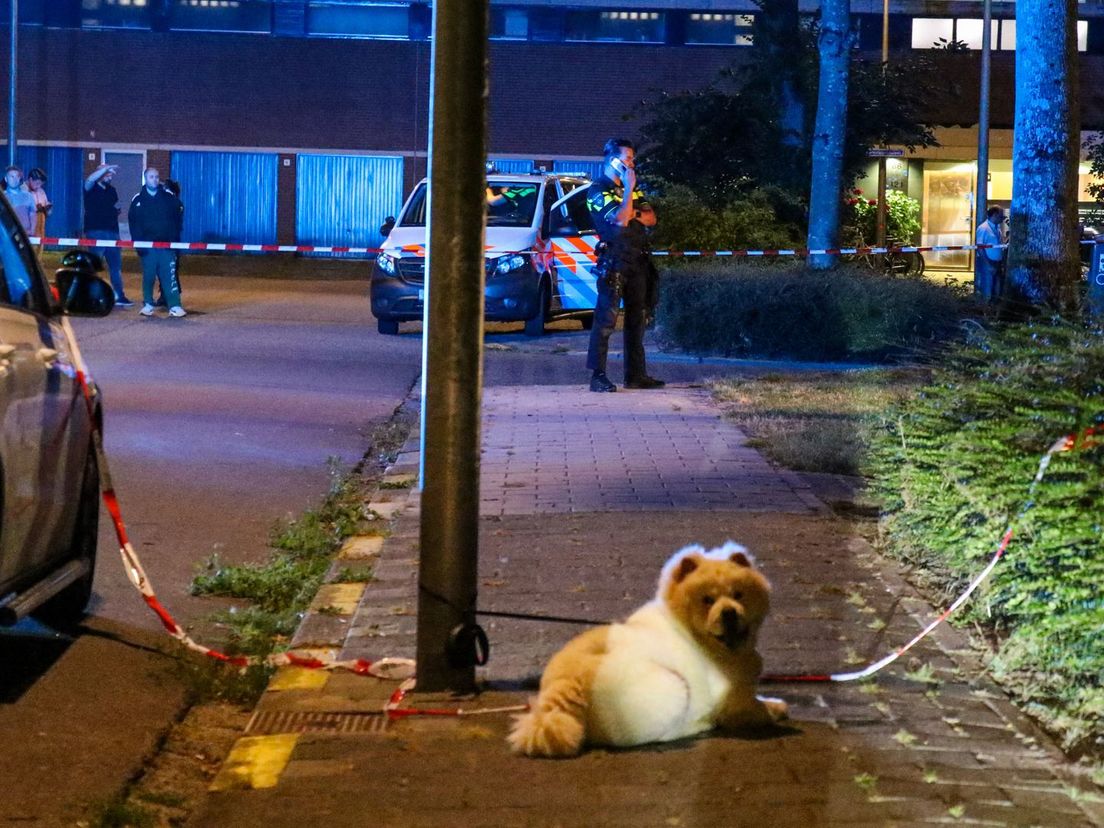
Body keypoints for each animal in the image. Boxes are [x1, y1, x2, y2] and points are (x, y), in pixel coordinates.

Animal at [507, 545, 786, 759]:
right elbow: (758, 709)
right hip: (674, 685)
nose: (729, 612)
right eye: (708, 600)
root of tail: (566, 684)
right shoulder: (734, 702)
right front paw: (776, 708)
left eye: (738, 594)